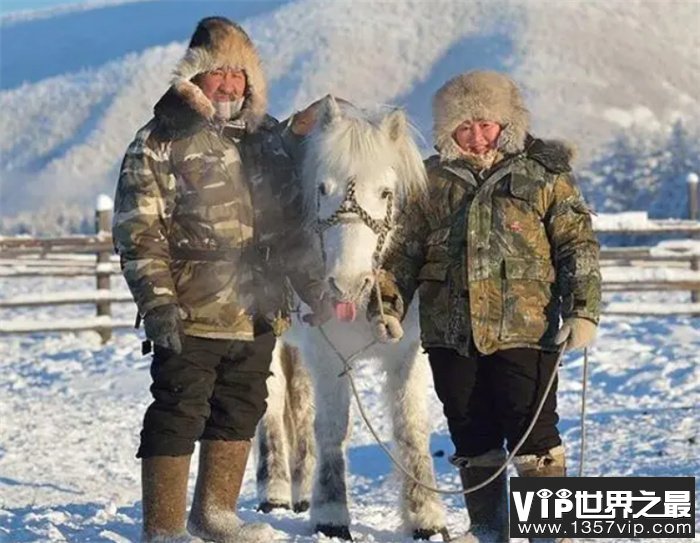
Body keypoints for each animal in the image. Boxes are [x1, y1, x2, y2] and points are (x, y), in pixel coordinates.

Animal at [256, 95, 448, 540]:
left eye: (385, 192)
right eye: (321, 188)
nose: (345, 283)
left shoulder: (407, 352)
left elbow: (411, 428)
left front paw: (425, 517)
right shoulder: (329, 355)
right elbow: (332, 428)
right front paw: (331, 514)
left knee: (300, 408)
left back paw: (300, 491)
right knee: (273, 409)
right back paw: (275, 492)